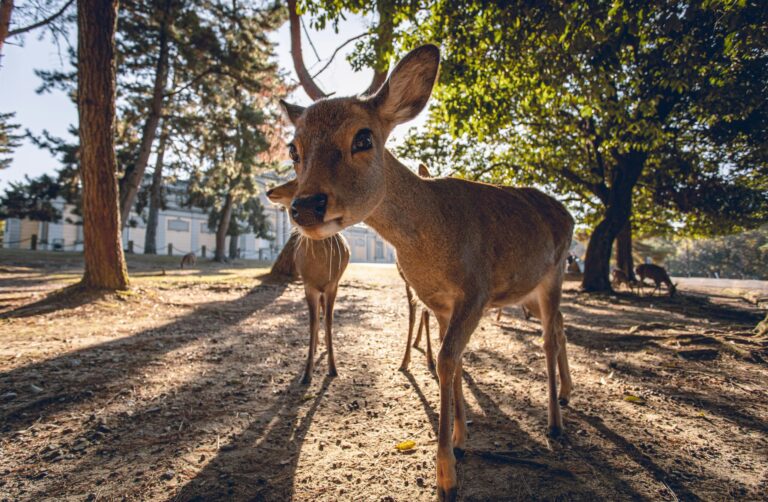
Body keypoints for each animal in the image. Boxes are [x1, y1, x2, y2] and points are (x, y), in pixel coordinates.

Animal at [266, 179, 351, 384]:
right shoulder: (308, 285)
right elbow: (312, 323)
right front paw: (306, 375)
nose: (269, 191)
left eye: (296, 181)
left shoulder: (332, 285)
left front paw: (333, 369)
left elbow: (329, 320)